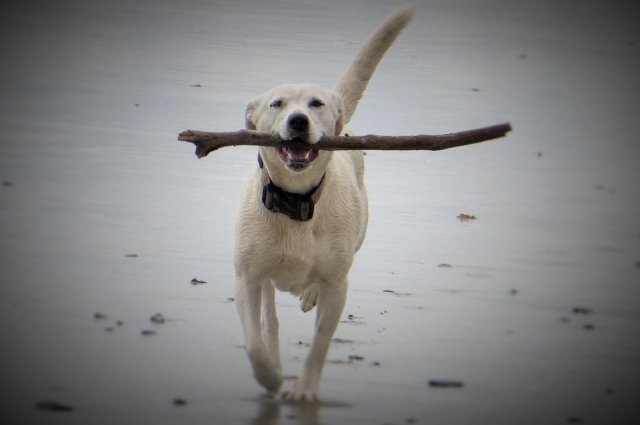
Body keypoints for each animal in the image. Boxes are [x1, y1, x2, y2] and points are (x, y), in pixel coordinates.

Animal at [232, 5, 412, 400]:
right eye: (277, 104)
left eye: (316, 104)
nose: (298, 120)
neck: (294, 200)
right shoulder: (248, 278)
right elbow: (254, 339)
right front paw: (270, 375)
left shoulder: (337, 288)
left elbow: (320, 342)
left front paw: (303, 390)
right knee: (270, 317)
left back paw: (308, 292)